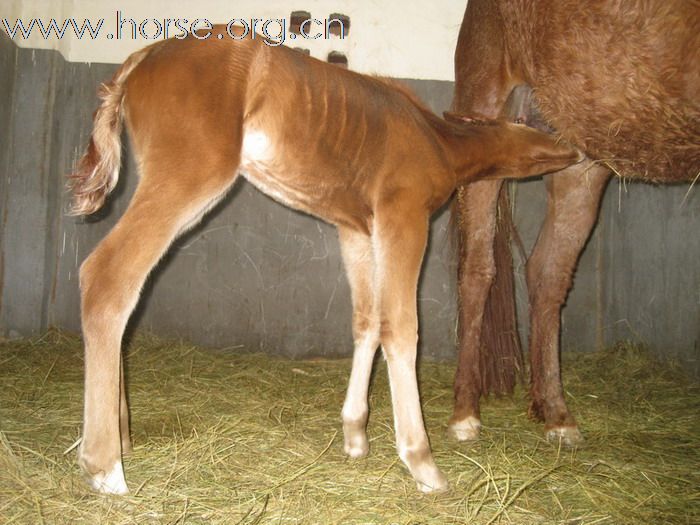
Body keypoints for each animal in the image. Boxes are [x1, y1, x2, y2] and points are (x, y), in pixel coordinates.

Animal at [71, 27, 584, 496]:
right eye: (535, 120)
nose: (577, 148)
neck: (437, 140)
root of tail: (141, 58)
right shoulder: (403, 217)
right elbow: (402, 327)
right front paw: (422, 463)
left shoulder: (356, 229)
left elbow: (367, 321)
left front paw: (355, 434)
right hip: (191, 176)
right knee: (108, 276)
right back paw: (106, 467)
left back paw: (123, 437)